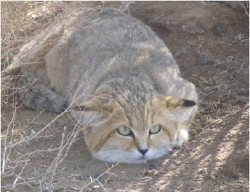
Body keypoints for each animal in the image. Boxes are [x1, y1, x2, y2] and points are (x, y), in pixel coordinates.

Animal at [4, 7, 198, 164]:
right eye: (124, 131)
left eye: (155, 129)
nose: (144, 149)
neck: (127, 76)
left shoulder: (184, 88)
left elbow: (187, 112)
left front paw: (178, 132)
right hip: (38, 52)